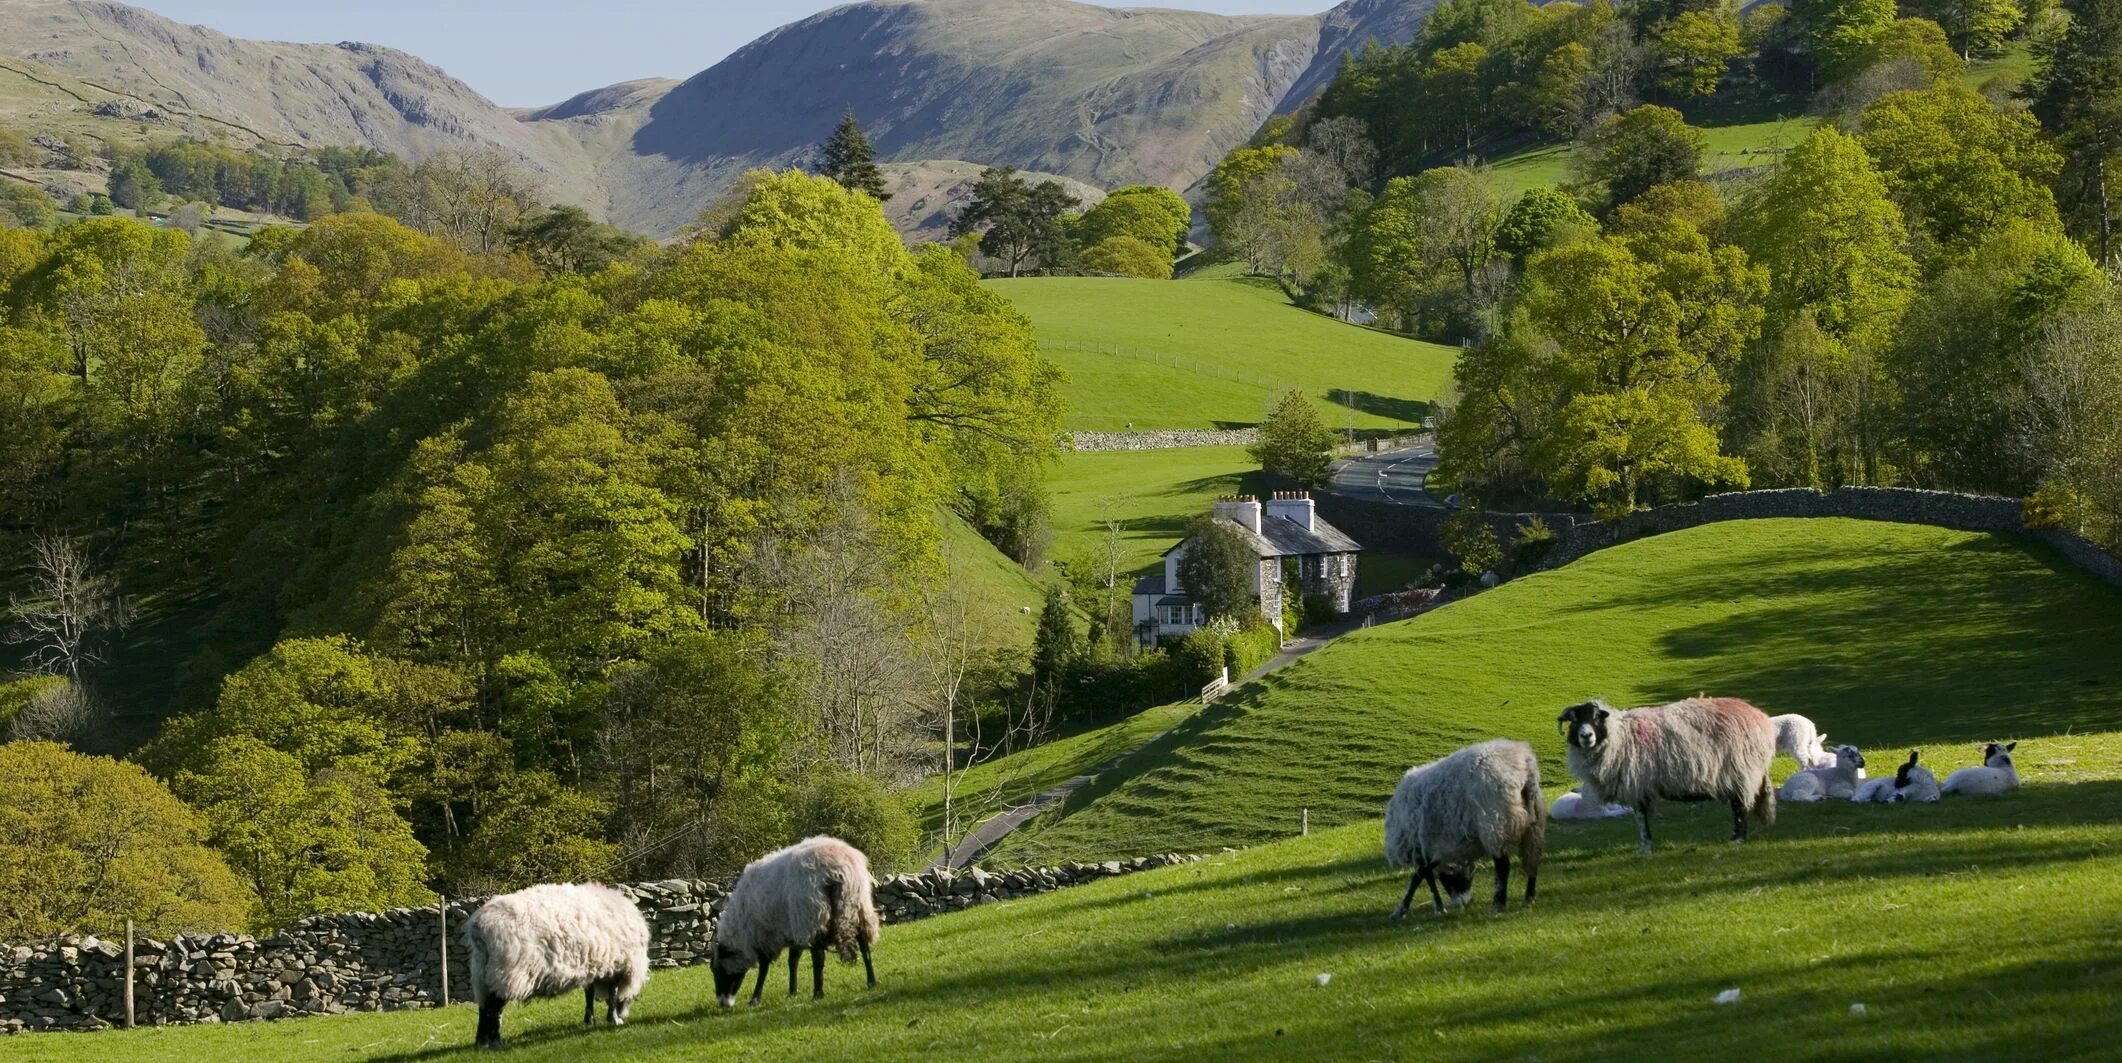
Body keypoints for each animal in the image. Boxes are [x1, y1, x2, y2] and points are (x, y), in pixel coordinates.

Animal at [466, 878, 649, 1043]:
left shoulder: (592, 965)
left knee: (484, 1008)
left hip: (482, 974)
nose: (625, 1014)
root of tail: (480, 927)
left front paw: (590, 1020)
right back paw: (495, 1041)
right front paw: (614, 1019)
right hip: (505, 972)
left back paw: (482, 1041)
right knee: (494, 1008)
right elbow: (613, 994)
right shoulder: (618, 965)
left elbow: (589, 994)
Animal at [712, 831, 878, 1005]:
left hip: (812, 914)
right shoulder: (791, 927)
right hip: (858, 904)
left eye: (717, 971)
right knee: (864, 946)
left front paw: (755, 999)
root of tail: (839, 868)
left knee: (818, 957)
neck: (740, 928)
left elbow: (764, 967)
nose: (723, 1004)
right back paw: (871, 982)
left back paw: (818, 993)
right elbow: (792, 960)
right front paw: (792, 992)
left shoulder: (764, 934)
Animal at [1383, 734, 1553, 916]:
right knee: (1532, 859)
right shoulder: (1438, 847)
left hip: (1494, 824)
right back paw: (1529, 898)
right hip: (1534, 823)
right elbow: (1425, 873)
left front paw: (1408, 909)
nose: (1463, 902)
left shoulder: (1421, 847)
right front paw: (1435, 906)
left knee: (1503, 865)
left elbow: (1421, 875)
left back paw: (1498, 904)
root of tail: (1523, 764)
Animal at [1553, 691, 1782, 848]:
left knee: (1740, 807)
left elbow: (1641, 819)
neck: (1618, 736)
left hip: (1740, 770)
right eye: (1574, 720)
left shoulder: (1636, 783)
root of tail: (1759, 717)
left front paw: (1645, 847)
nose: (1586, 736)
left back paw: (1737, 839)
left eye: (1595, 718)